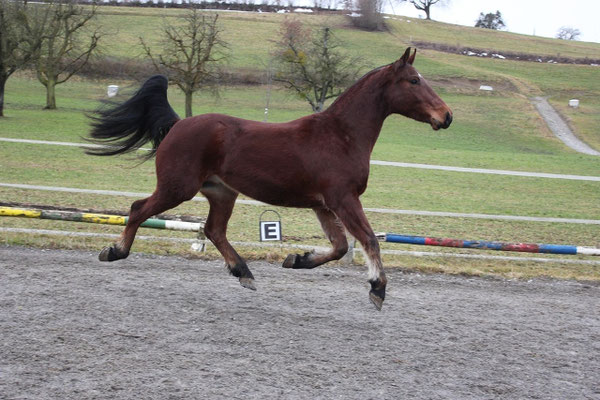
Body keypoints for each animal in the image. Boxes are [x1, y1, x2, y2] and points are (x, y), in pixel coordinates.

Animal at [84, 47, 450, 310]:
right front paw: (377, 289)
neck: (341, 136)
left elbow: (340, 247)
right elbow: (369, 240)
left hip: (221, 193)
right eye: (414, 81)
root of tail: (178, 124)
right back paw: (114, 251)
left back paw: (244, 273)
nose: (446, 116)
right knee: (138, 209)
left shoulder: (324, 206)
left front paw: (297, 260)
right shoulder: (343, 200)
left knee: (214, 230)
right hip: (178, 188)